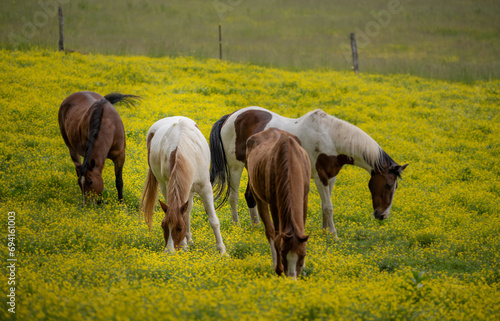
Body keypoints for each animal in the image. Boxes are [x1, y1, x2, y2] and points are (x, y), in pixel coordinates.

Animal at [141, 116, 227, 254]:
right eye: (163, 226)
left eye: (180, 228)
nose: (169, 252)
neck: (182, 152)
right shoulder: (167, 185)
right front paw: (184, 246)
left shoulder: (205, 187)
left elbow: (213, 220)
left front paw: (222, 251)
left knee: (188, 211)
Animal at [209, 105, 408, 238]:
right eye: (388, 185)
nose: (382, 215)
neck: (331, 138)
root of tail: (231, 116)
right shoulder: (321, 177)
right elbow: (328, 206)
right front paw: (334, 235)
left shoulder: (331, 177)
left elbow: (325, 205)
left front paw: (325, 231)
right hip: (236, 166)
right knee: (234, 197)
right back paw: (237, 226)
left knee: (250, 196)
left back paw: (257, 227)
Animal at [245, 127, 310, 278]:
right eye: (283, 254)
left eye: (302, 257)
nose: (292, 279)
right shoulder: (275, 204)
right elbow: (276, 236)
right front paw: (279, 269)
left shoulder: (304, 199)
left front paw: (304, 269)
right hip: (258, 195)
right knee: (269, 231)